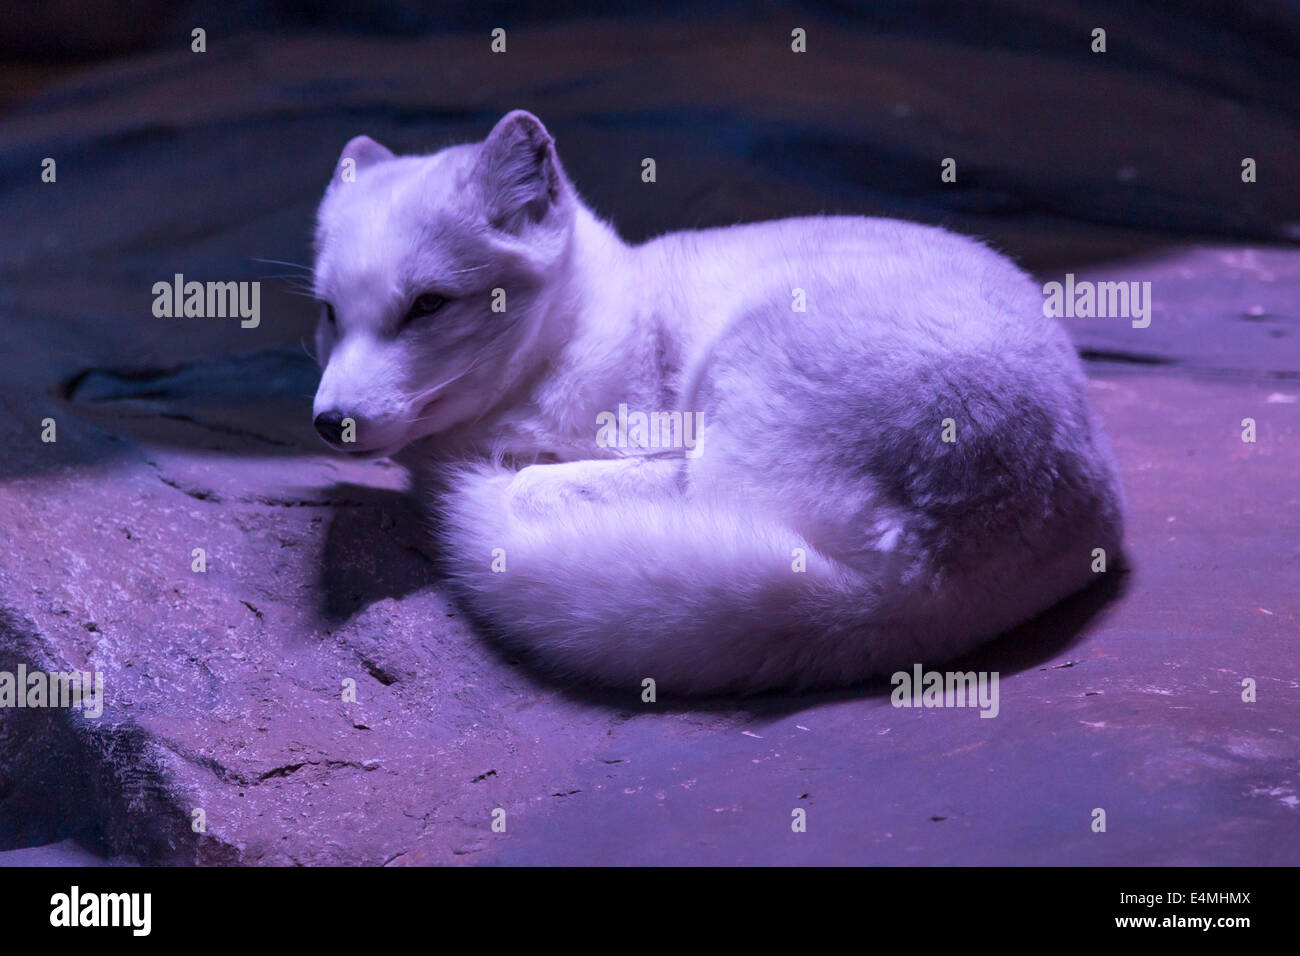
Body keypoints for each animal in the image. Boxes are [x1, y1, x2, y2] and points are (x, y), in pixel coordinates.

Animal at [309, 110, 1123, 697]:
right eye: (327, 312)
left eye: (428, 305)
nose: (329, 422)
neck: (580, 326)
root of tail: (928, 575)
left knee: (647, 486)